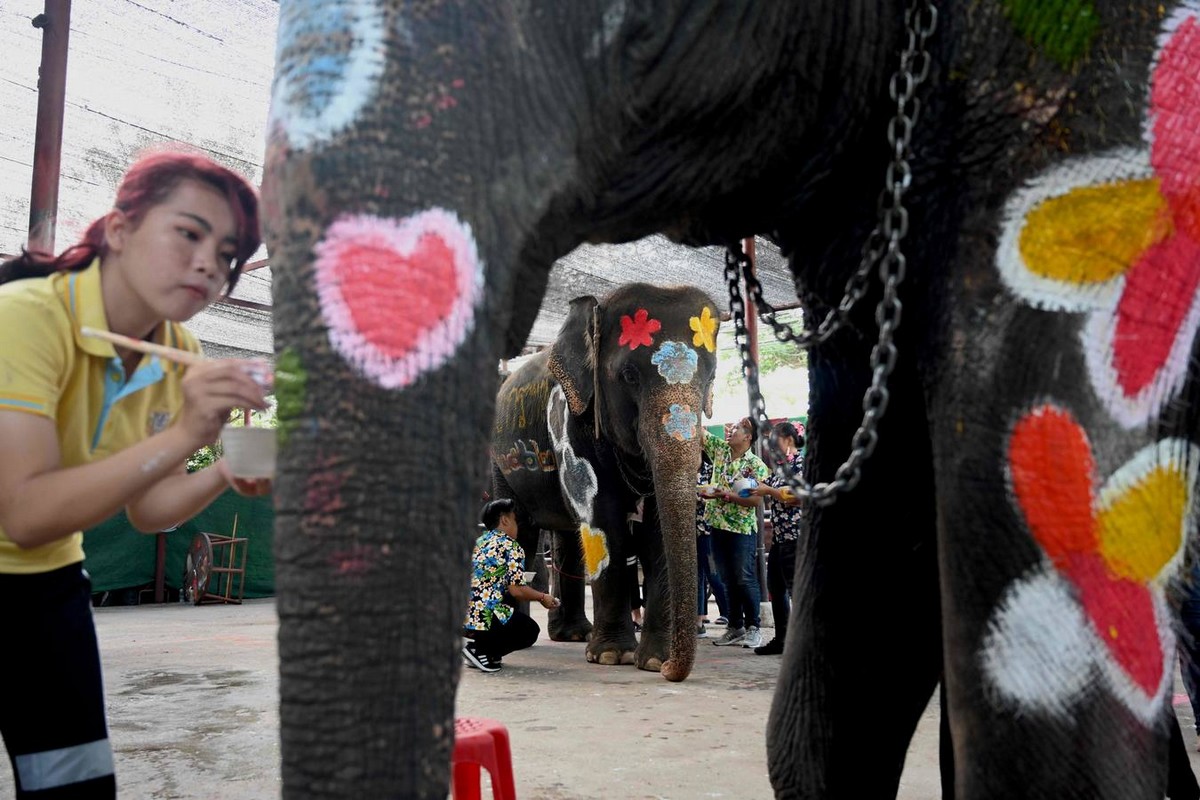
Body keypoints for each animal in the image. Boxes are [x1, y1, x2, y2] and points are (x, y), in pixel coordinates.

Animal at [492, 281, 715, 676]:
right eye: (629, 376)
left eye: (711, 378)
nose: (672, 671)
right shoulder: (570, 419)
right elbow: (604, 522)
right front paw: (613, 657)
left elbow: (655, 530)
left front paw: (652, 661)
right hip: (501, 464)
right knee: (523, 530)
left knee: (564, 536)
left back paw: (572, 635)